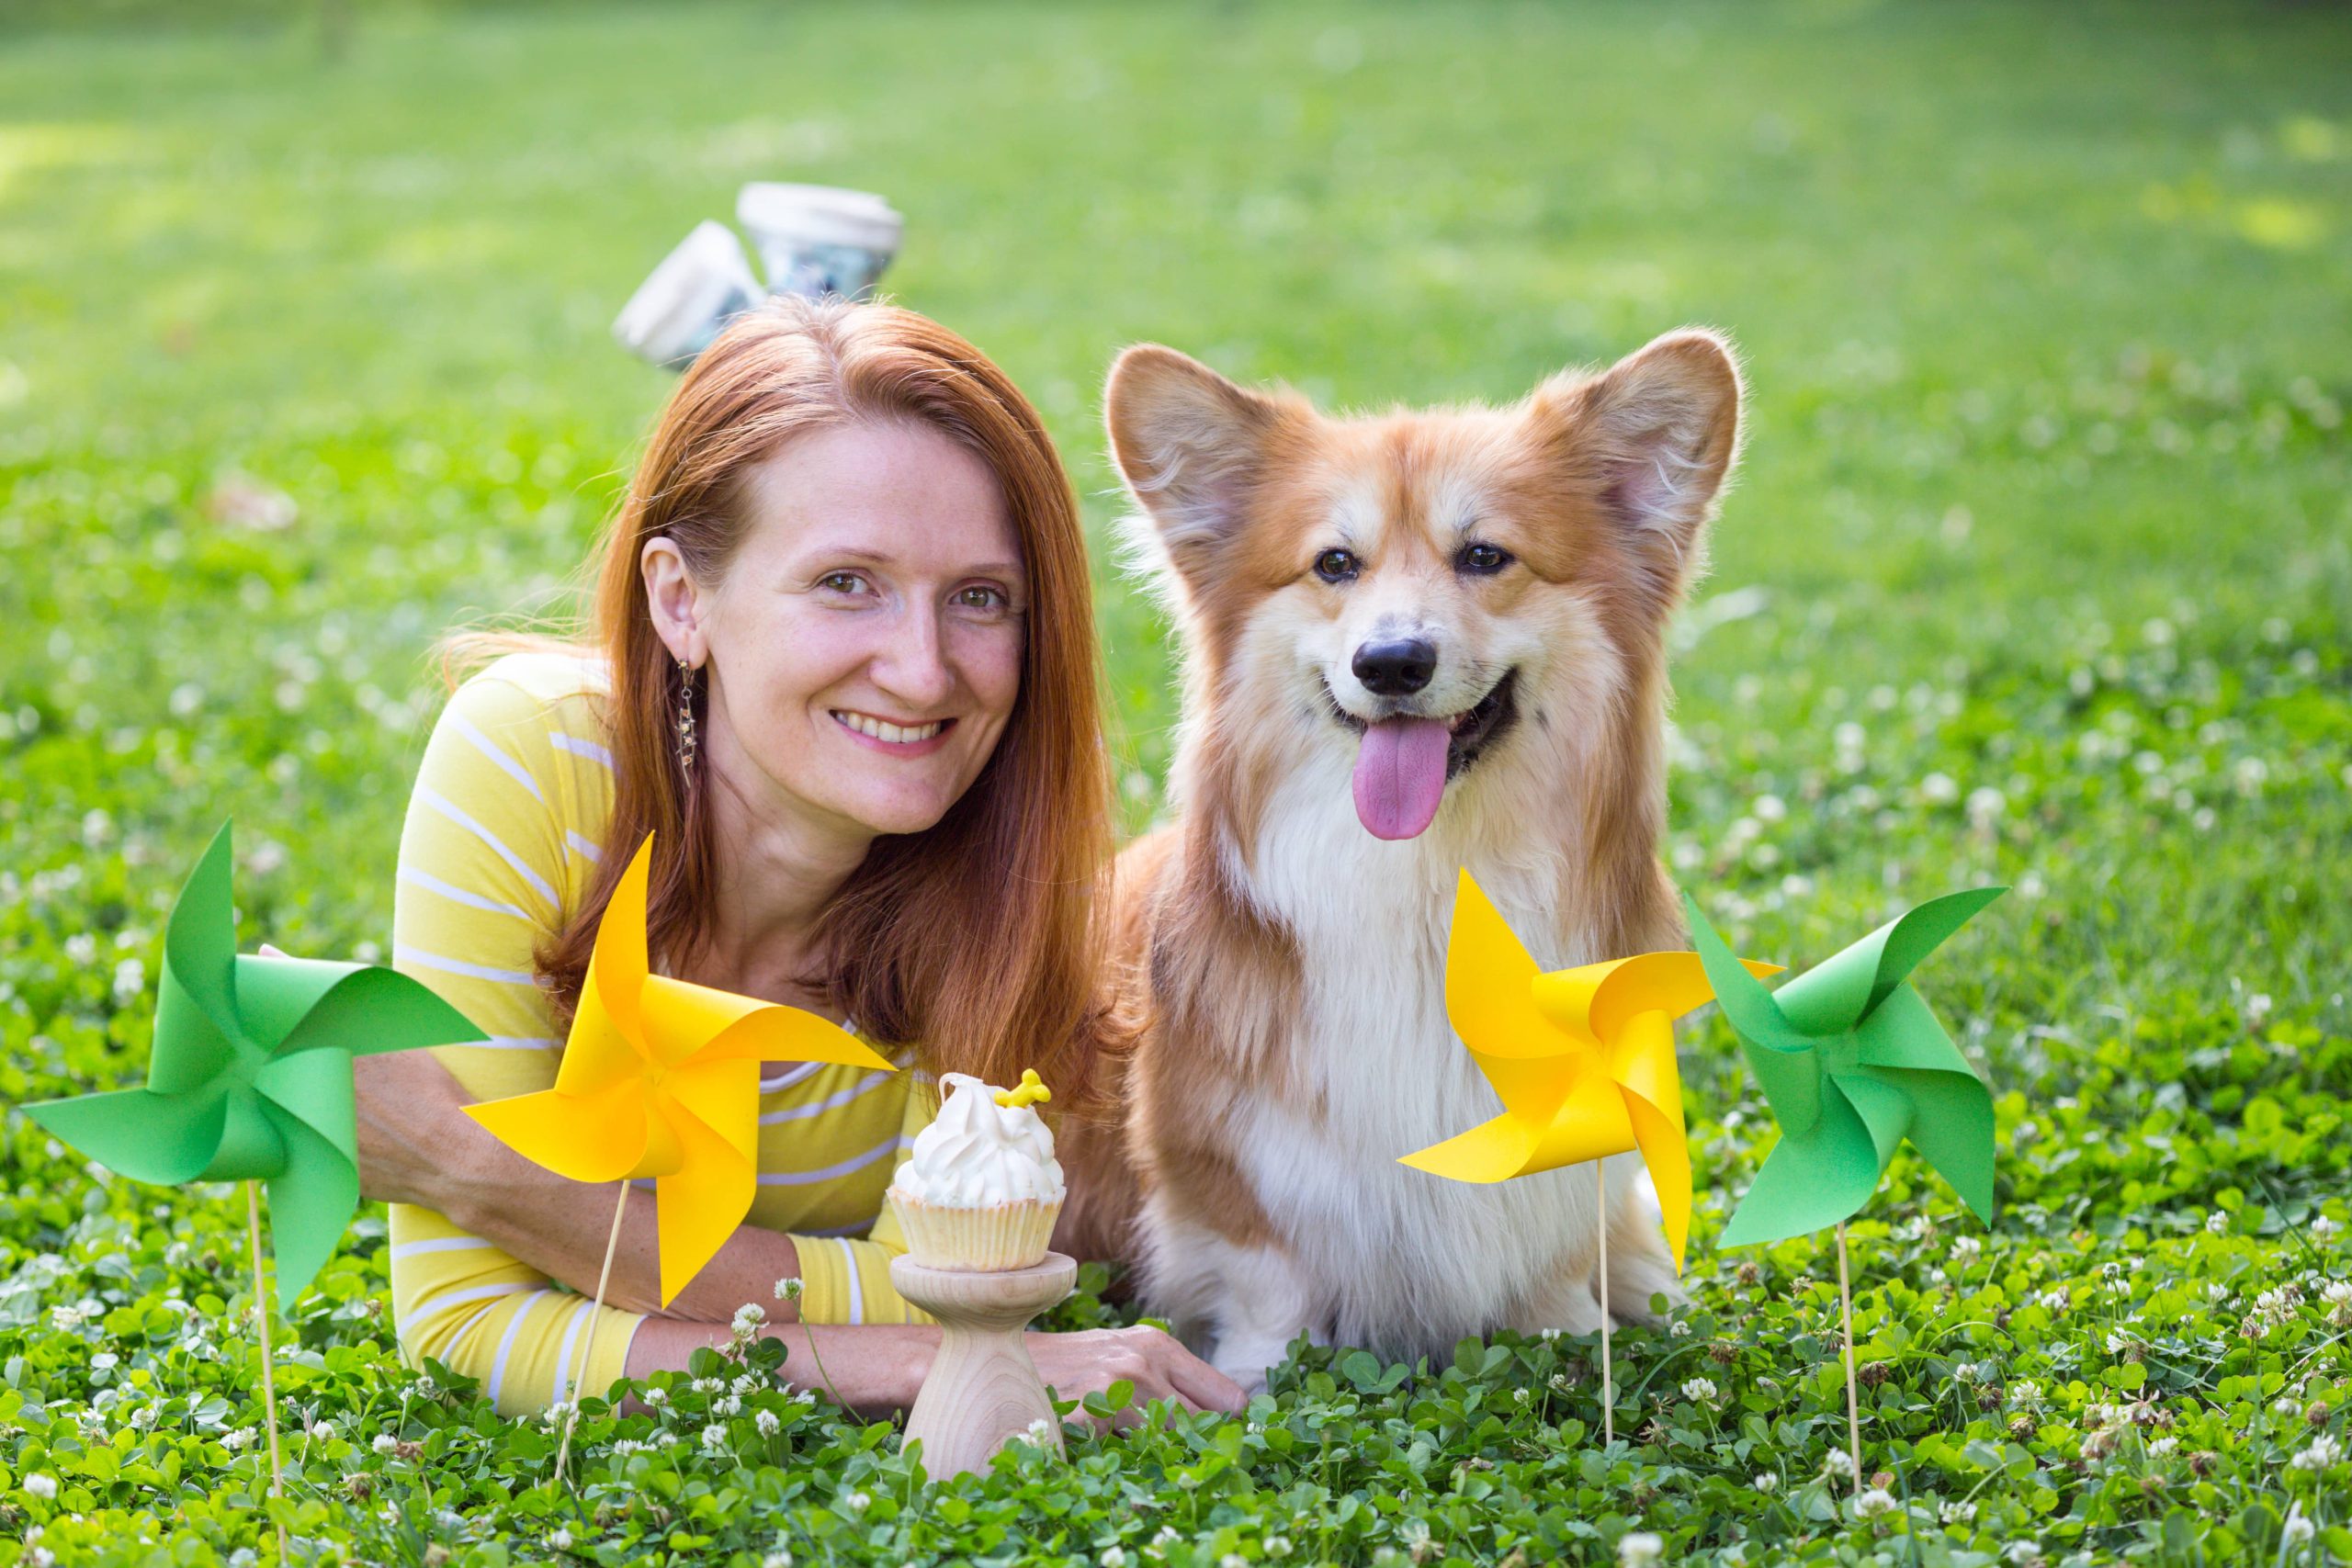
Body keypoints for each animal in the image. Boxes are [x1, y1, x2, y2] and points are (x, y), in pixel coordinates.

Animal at [1068, 329, 1749, 1382]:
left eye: (1485, 556)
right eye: (1334, 564)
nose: (1390, 664)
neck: (1431, 884)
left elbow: (1553, 1260)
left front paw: (1570, 1341)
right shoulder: (1227, 1165)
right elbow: (1269, 1283)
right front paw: (1255, 1379)